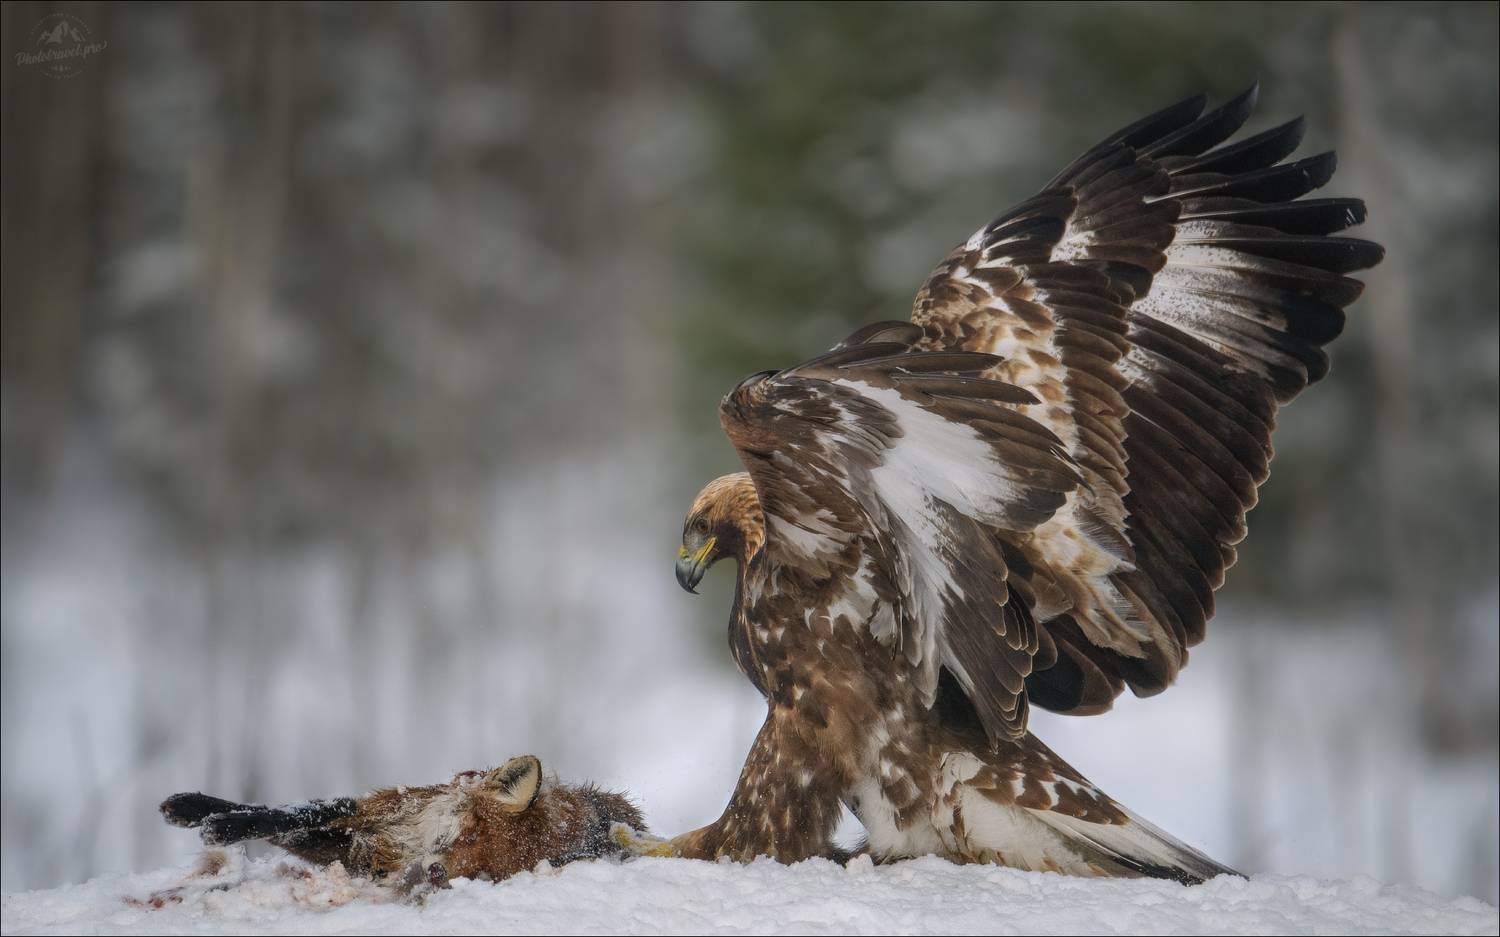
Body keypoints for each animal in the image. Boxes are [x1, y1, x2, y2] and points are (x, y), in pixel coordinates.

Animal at [160, 754, 646, 889]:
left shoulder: (356, 853)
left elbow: (297, 824)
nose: (431, 875)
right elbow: (298, 811)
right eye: (470, 836)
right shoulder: (384, 808)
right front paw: (197, 810)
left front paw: (215, 823)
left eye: (487, 873)